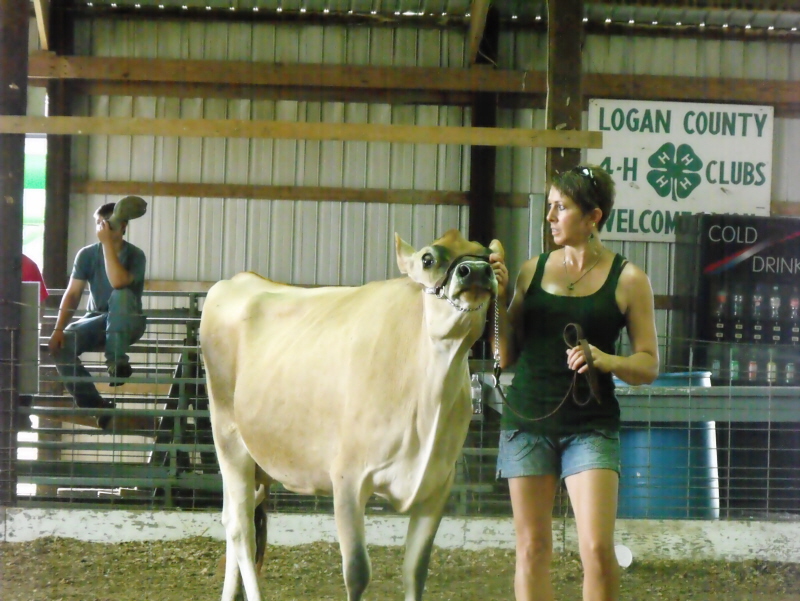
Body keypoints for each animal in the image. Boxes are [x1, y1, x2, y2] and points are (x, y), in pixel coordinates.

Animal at [199, 230, 503, 601]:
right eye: (428, 259)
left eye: (488, 256)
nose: (475, 271)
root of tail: (238, 280)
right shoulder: (347, 478)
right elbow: (357, 572)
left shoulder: (437, 485)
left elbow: (415, 571)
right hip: (228, 437)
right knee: (241, 528)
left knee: (234, 517)